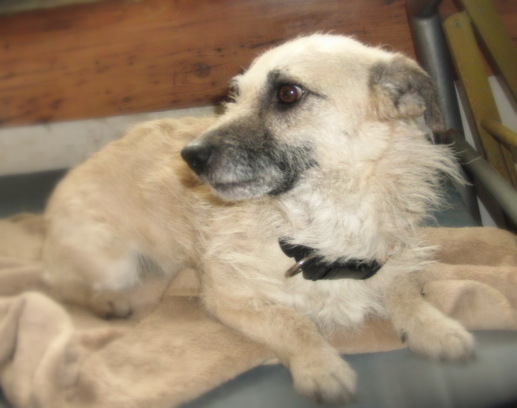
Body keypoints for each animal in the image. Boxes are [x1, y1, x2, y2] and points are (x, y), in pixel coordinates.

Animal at [42, 34, 474, 404]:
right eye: (235, 96)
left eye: (288, 93)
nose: (189, 157)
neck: (321, 229)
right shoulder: (230, 300)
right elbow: (293, 322)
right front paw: (321, 367)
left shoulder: (388, 261)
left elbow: (407, 294)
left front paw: (437, 328)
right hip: (114, 262)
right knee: (58, 286)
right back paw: (105, 303)